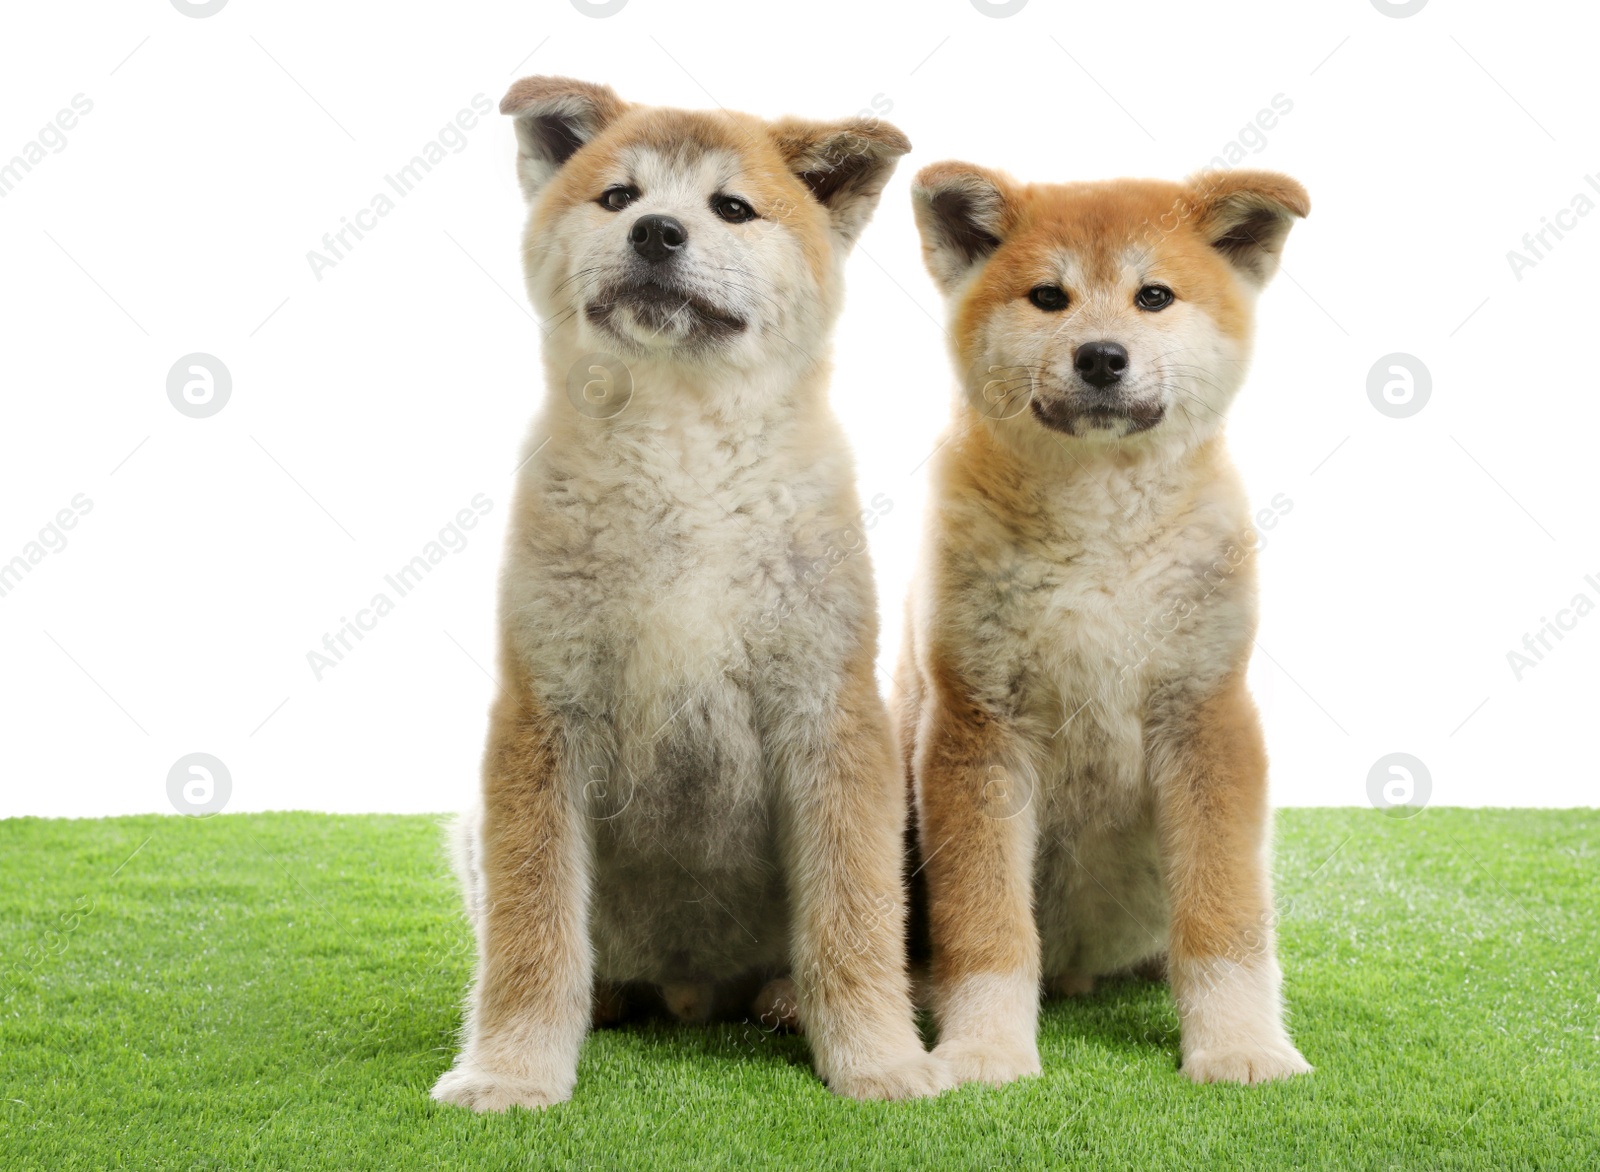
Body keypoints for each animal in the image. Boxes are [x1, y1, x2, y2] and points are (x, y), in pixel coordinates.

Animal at [432, 80, 940, 1107]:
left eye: (732, 209)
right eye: (618, 197)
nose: (658, 231)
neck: (682, 457)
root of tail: (689, 991)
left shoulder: (827, 712)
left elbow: (854, 918)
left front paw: (879, 1060)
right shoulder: (544, 715)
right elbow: (529, 929)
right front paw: (511, 1071)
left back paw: (784, 1000)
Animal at [896, 164, 1318, 1088]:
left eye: (1153, 296)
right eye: (1048, 297)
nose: (1099, 355)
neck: (1099, 536)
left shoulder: (1206, 716)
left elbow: (1224, 918)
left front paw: (1239, 1043)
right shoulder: (978, 727)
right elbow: (985, 925)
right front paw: (984, 1048)